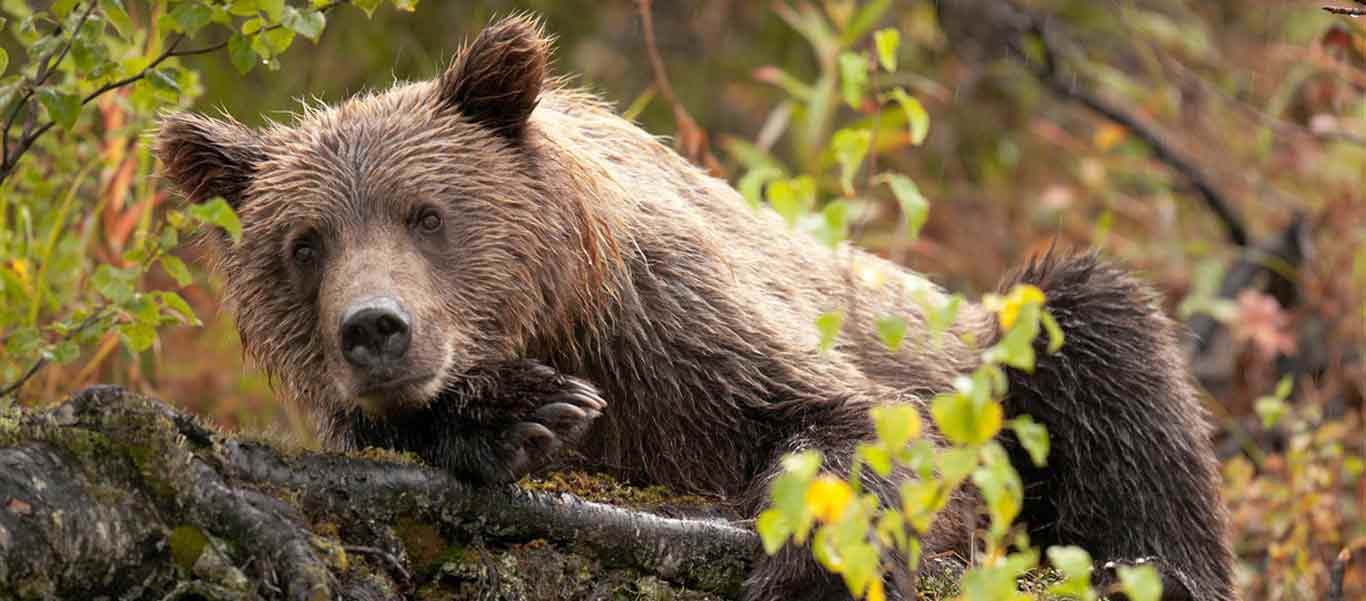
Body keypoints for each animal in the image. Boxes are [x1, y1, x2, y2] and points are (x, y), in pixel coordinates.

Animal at [157, 12, 1240, 601]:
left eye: (427, 214)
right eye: (305, 244)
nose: (376, 327)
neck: (562, 306)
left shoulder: (681, 321)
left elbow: (851, 424)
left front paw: (809, 565)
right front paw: (521, 414)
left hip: (997, 340)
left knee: (1106, 344)